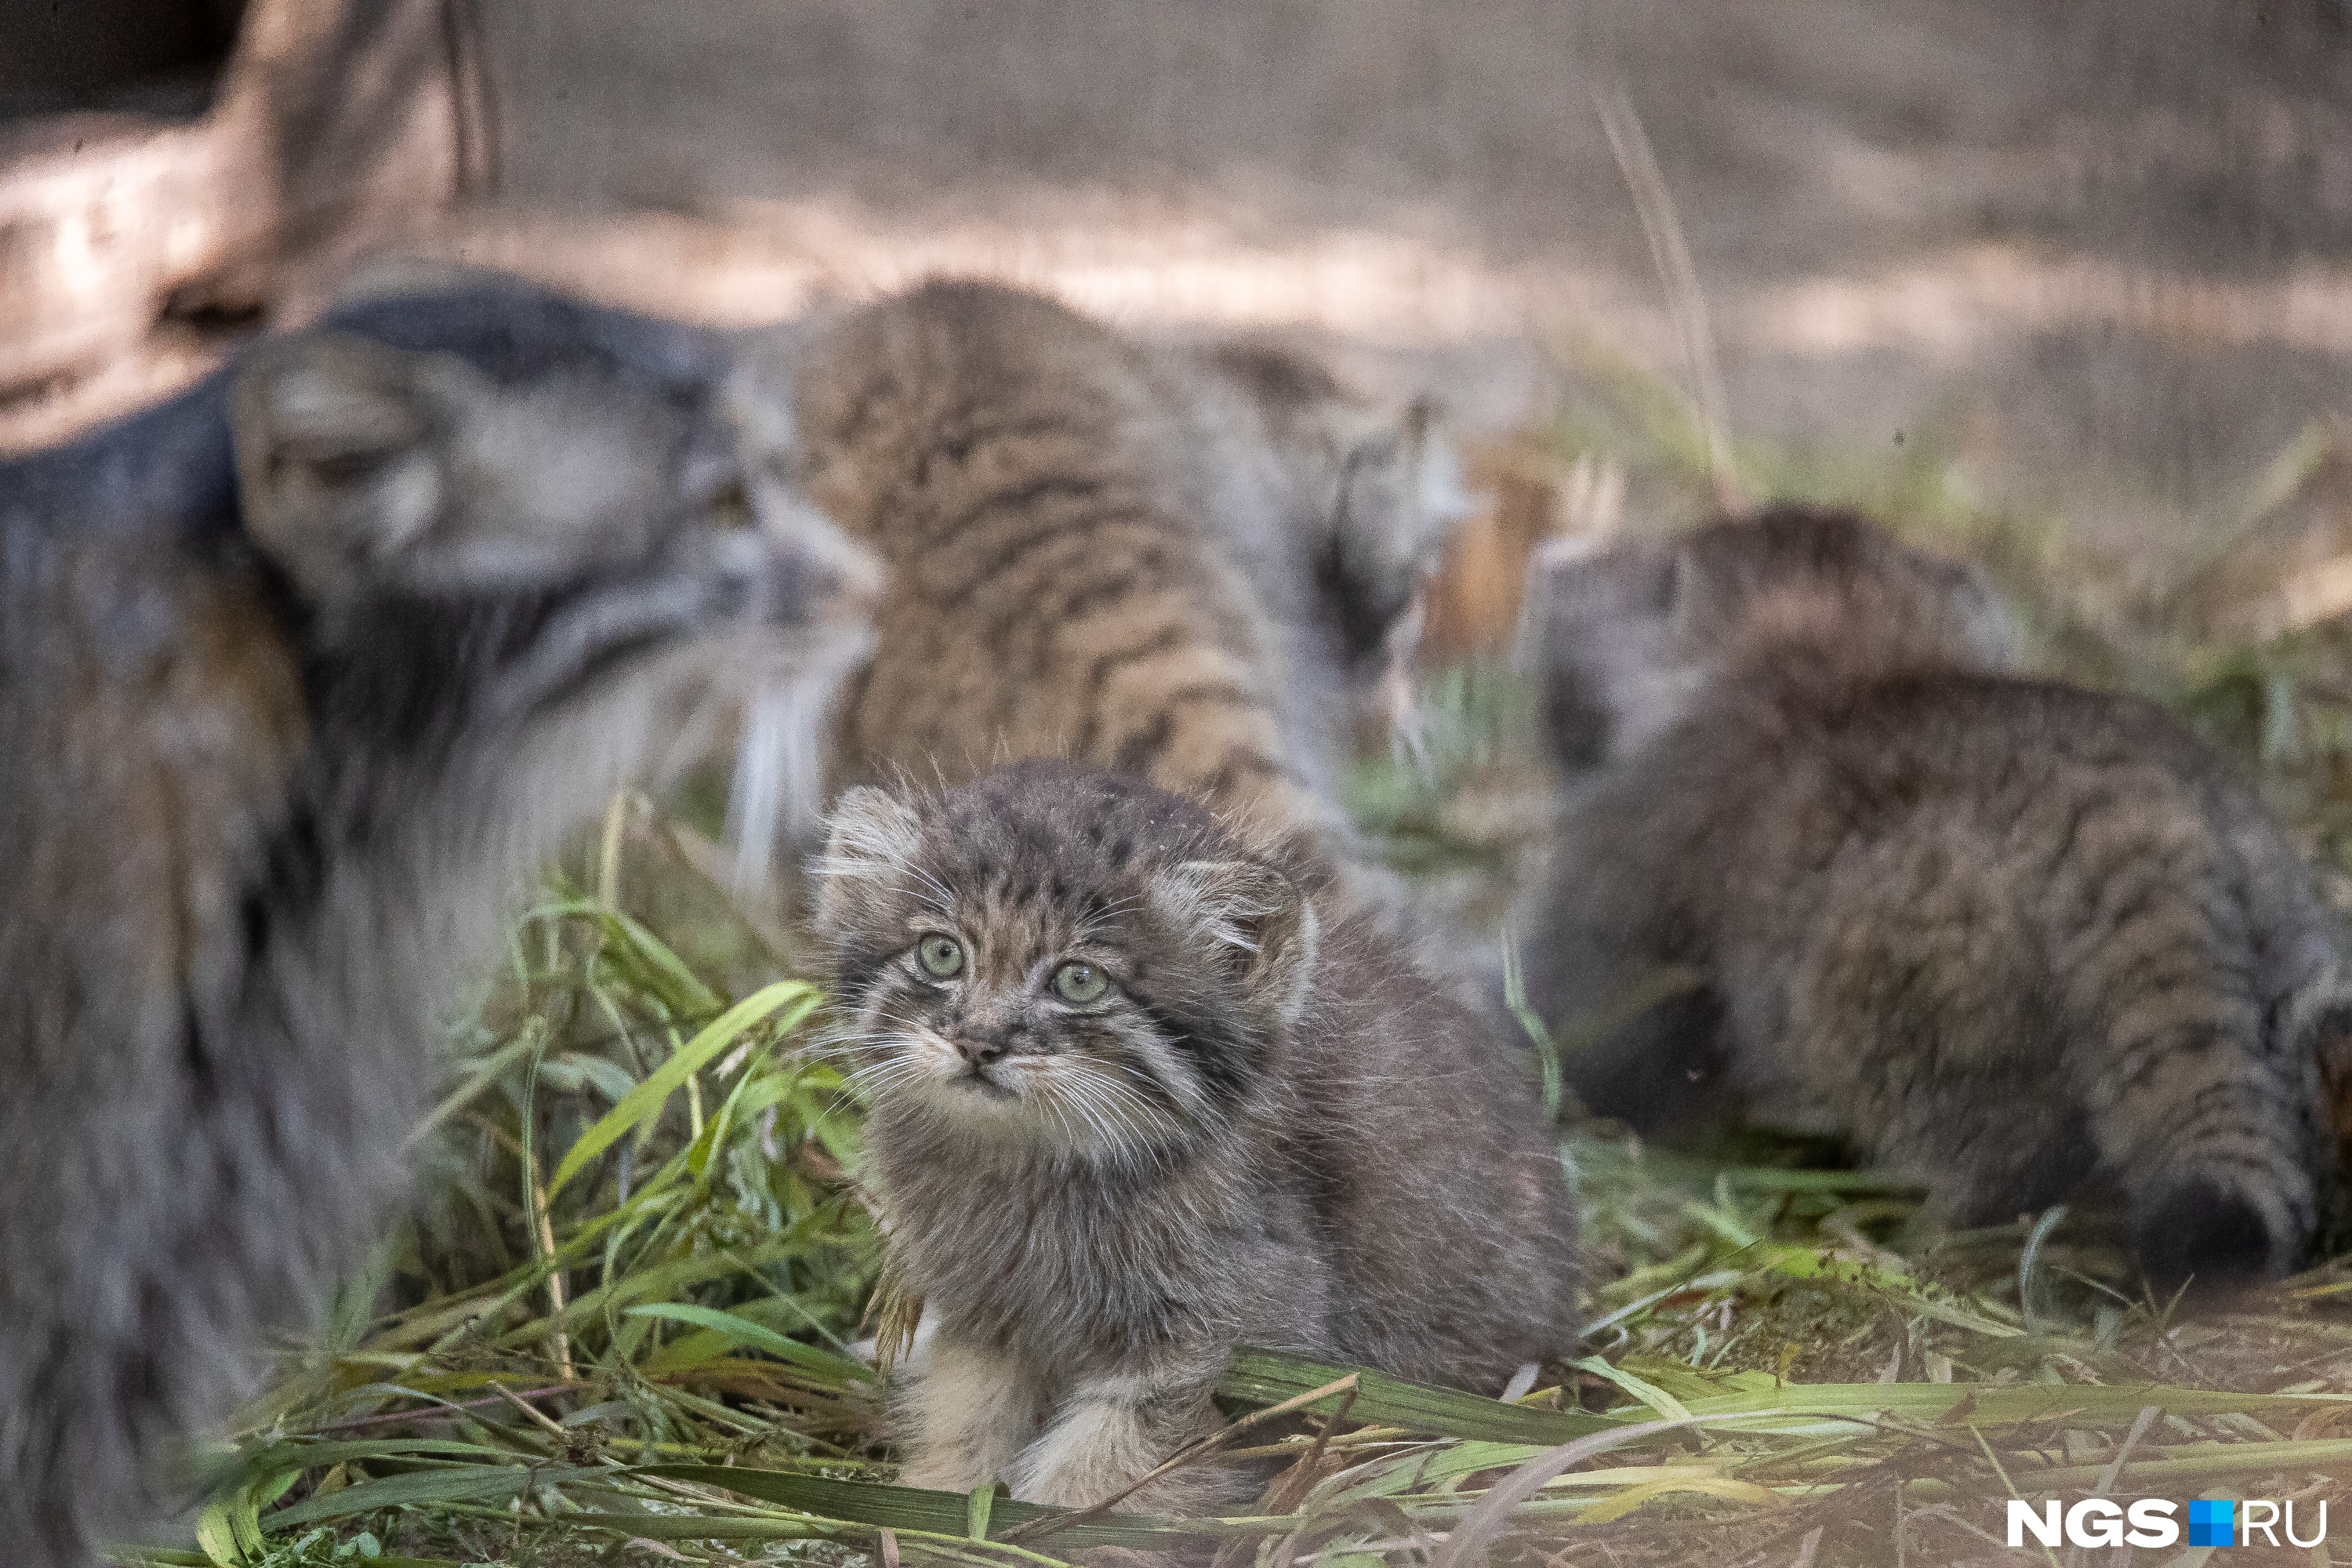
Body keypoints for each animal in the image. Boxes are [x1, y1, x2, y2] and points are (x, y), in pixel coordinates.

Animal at [814, 761, 1581, 1523]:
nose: (978, 1041)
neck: (1027, 1169)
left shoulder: (1233, 1333)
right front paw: (939, 1496)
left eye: (1079, 979)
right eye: (941, 953)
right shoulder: (987, 1307)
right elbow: (967, 1414)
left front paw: (1053, 1522)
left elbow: (1115, 1459)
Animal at [1515, 510, 2343, 1279]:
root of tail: (2140, 816)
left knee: (2009, 1165)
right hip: (2294, 966)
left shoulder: (1614, 913)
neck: (1843, 656)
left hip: (1918, 1021)